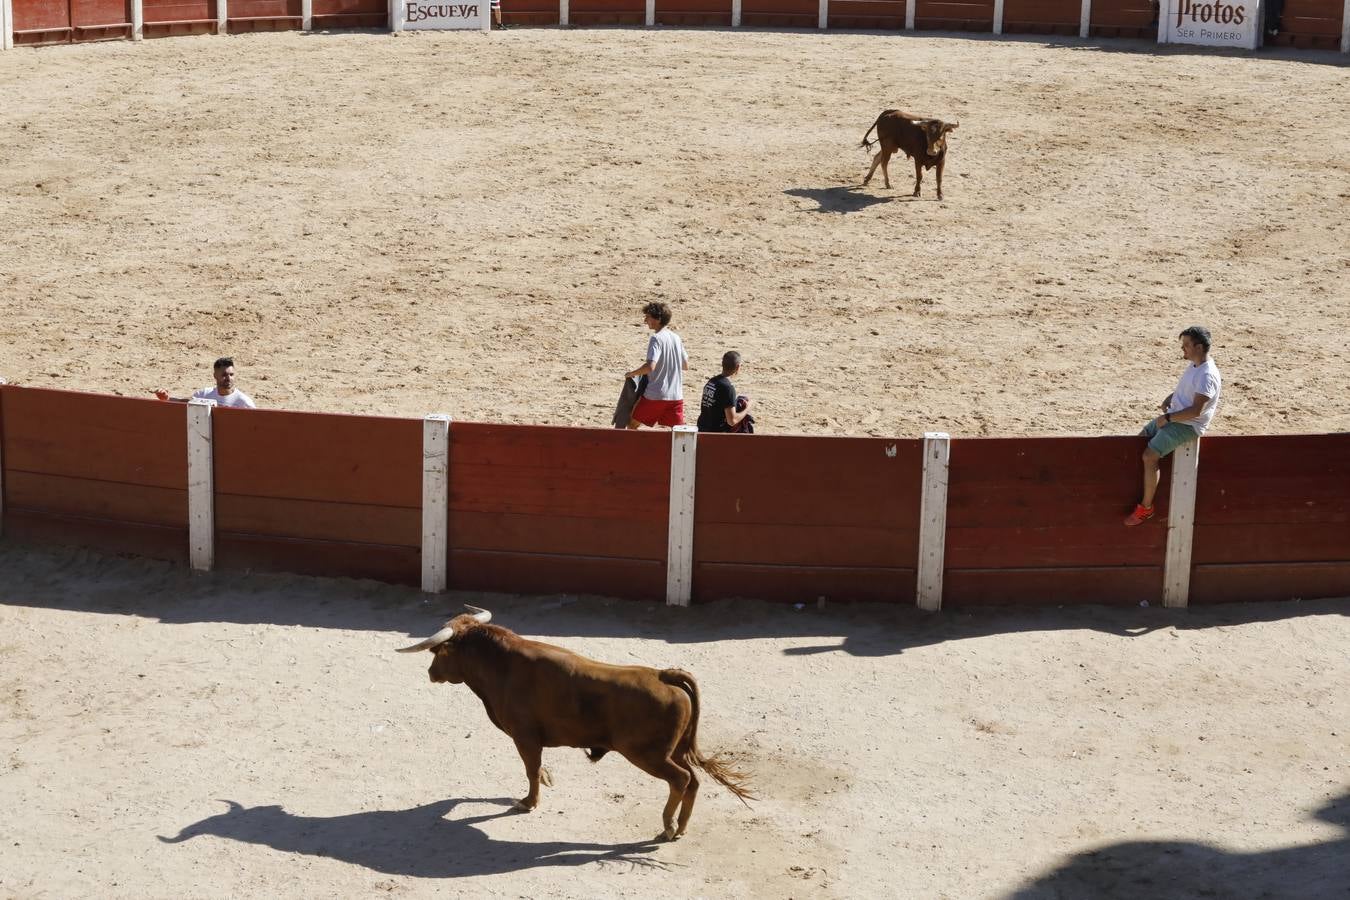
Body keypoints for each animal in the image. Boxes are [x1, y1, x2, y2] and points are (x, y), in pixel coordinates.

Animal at [394, 609, 756, 841]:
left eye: (438, 652)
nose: (431, 673)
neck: (500, 666)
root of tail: (663, 674)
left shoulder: (525, 737)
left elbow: (530, 769)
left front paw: (528, 802)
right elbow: (537, 769)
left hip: (648, 754)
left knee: (680, 779)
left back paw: (667, 827)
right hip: (675, 749)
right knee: (693, 780)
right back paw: (680, 828)